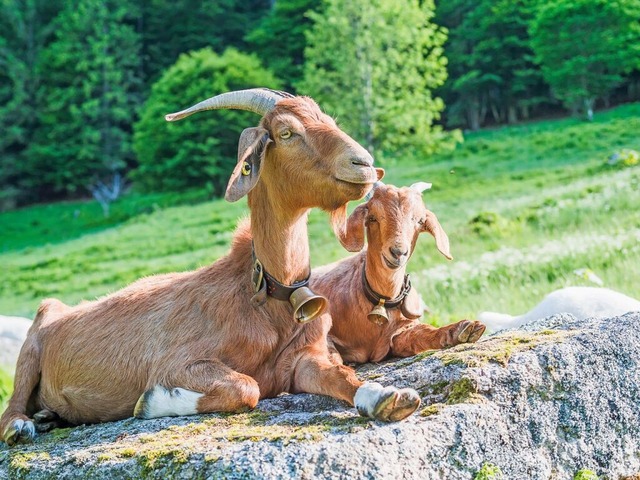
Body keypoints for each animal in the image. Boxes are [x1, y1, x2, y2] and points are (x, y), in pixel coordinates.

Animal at [2, 88, 420, 444]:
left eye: (329, 119)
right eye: (286, 132)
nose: (363, 164)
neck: (266, 292)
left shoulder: (303, 360)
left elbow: (341, 375)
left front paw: (386, 396)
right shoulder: (178, 362)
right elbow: (246, 387)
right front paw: (152, 402)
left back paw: (50, 416)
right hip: (32, 345)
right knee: (12, 406)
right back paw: (25, 425)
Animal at [310, 182, 484, 362]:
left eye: (420, 221)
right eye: (372, 218)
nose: (398, 252)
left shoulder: (399, 331)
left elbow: (420, 333)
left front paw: (463, 329)